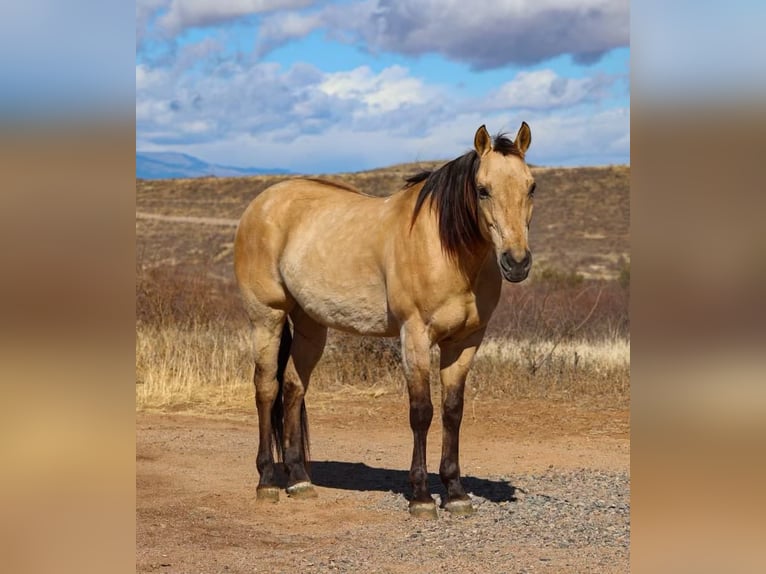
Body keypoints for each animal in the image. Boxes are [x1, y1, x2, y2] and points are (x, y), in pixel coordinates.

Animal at [234, 124, 536, 520]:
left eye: (532, 187)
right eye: (483, 189)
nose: (517, 263)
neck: (445, 248)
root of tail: (261, 204)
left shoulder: (465, 342)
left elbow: (452, 412)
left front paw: (456, 493)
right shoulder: (415, 336)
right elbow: (421, 412)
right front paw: (421, 497)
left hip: (310, 324)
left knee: (293, 389)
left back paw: (299, 481)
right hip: (266, 317)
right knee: (266, 390)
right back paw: (267, 481)